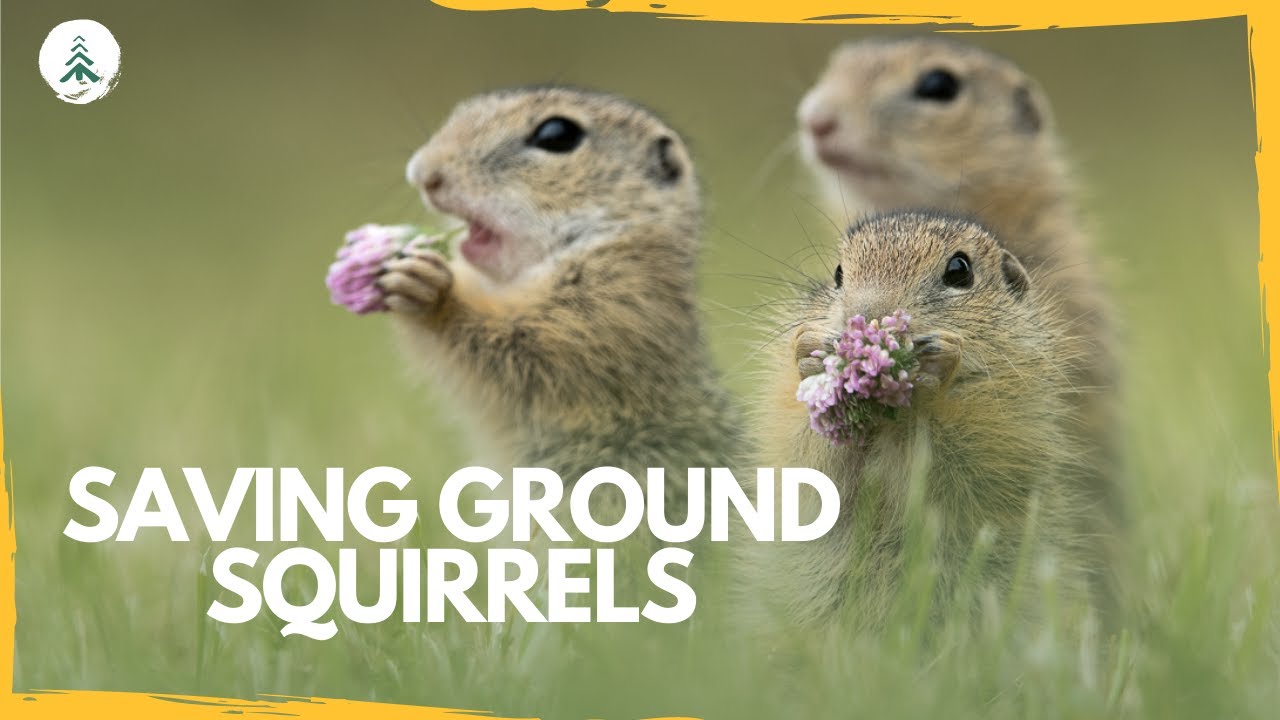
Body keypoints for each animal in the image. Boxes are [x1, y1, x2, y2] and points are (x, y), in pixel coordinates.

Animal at [381, 86, 741, 543]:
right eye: (466, 108)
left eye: (557, 134)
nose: (424, 173)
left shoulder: (611, 310)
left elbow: (520, 349)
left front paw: (431, 290)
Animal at [740, 211, 1090, 633]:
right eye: (838, 273)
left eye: (959, 270)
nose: (868, 314)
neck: (885, 419)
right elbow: (807, 460)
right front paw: (810, 349)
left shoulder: (1011, 420)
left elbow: (962, 461)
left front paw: (936, 366)